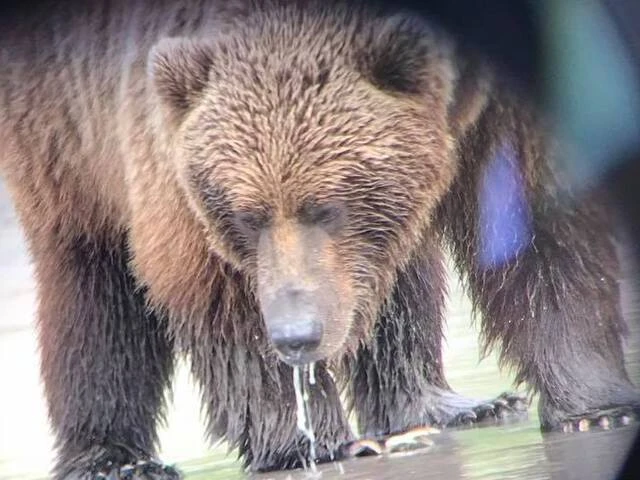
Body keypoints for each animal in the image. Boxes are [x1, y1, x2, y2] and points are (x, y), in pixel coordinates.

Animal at [1, 0, 639, 478]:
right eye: (247, 215)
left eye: (328, 206)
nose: (297, 335)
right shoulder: (168, 156)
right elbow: (217, 290)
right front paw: (314, 439)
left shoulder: (498, 99)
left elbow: (541, 223)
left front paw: (594, 407)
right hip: (60, 131)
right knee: (92, 285)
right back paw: (113, 459)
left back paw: (446, 405)